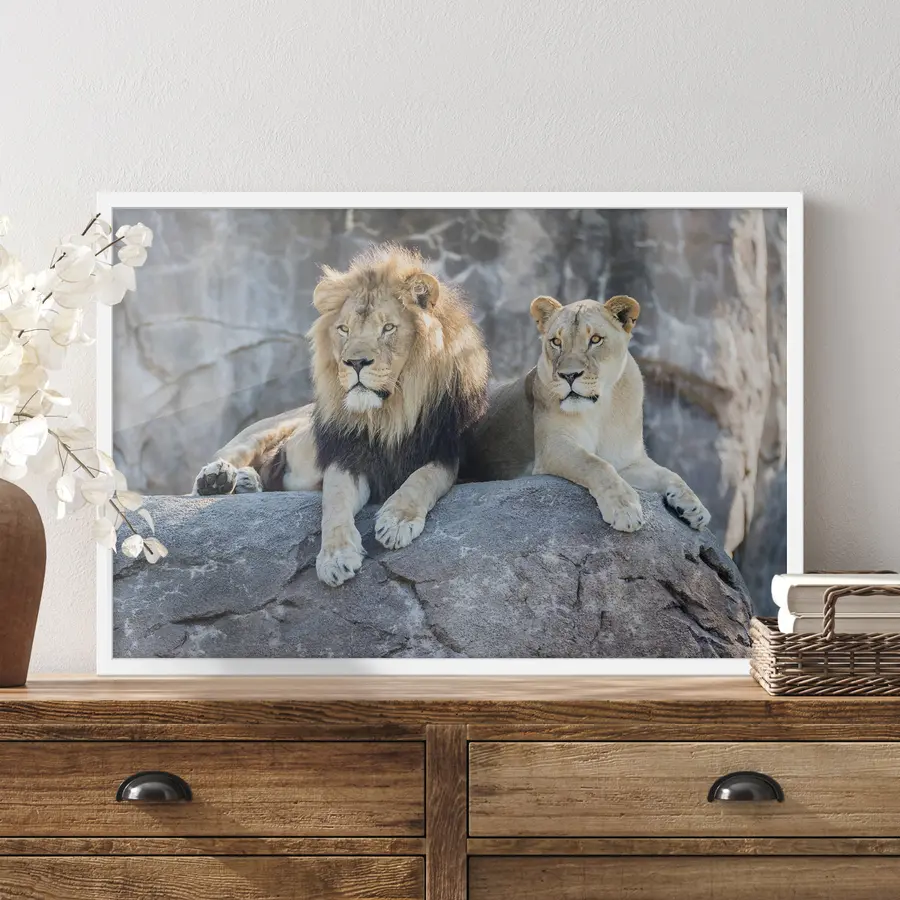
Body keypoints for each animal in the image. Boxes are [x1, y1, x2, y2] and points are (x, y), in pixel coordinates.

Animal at [192, 244, 490, 587]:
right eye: (344, 329)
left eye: (388, 328)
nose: (355, 362)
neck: (389, 414)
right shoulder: (346, 456)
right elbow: (334, 503)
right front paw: (335, 557)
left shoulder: (447, 452)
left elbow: (422, 479)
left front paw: (397, 521)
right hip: (260, 432)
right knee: (223, 460)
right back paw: (217, 479)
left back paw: (245, 482)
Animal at [462, 294, 710, 533]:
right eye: (556, 342)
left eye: (595, 340)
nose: (569, 375)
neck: (601, 410)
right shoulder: (553, 446)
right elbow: (595, 464)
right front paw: (625, 509)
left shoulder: (628, 461)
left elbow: (669, 473)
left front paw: (694, 507)